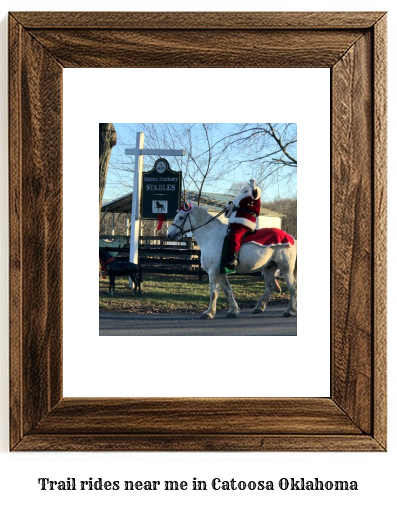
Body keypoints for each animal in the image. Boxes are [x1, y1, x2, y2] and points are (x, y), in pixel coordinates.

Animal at [168, 203, 296, 320]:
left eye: (180, 217)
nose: (169, 235)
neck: (211, 236)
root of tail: (290, 237)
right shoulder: (221, 272)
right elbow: (227, 290)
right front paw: (233, 311)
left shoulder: (213, 272)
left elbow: (213, 292)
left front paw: (209, 313)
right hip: (269, 268)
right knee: (270, 287)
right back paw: (259, 307)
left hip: (286, 269)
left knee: (292, 287)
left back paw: (290, 310)